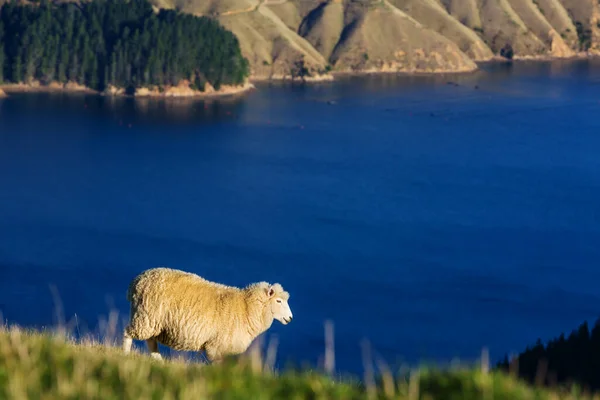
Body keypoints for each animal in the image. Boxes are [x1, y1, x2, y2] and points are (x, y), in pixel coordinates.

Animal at [120, 268, 294, 362]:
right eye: (278, 301)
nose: (290, 318)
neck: (246, 308)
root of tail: (137, 281)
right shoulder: (216, 346)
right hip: (146, 316)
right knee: (128, 333)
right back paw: (125, 354)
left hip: (152, 321)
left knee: (151, 341)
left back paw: (159, 361)